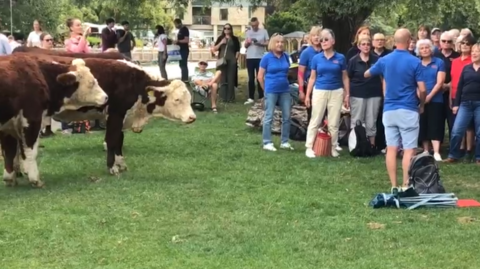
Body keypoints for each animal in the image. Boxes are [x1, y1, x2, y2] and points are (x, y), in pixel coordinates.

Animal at [0, 54, 108, 186]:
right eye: (92, 83)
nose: (106, 97)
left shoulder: (9, 125)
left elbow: (9, 152)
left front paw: (9, 178)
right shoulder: (31, 120)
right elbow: (30, 151)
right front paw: (35, 179)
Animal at [10, 53, 195, 175]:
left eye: (189, 99)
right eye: (177, 99)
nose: (192, 118)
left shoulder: (120, 117)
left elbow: (119, 140)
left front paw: (121, 164)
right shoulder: (116, 113)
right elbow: (112, 140)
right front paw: (112, 167)